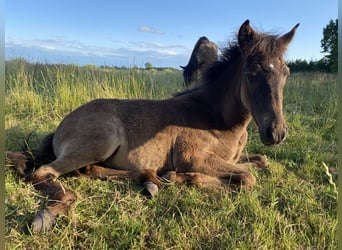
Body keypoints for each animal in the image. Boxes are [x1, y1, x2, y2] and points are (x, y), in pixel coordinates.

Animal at [6, 20, 300, 233]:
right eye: (251, 74)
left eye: (286, 73)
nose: (276, 133)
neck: (218, 119)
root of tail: (61, 127)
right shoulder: (192, 158)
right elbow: (247, 178)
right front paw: (184, 178)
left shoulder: (234, 157)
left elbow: (260, 162)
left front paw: (174, 177)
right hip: (100, 142)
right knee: (45, 173)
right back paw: (47, 215)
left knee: (90, 170)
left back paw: (150, 180)